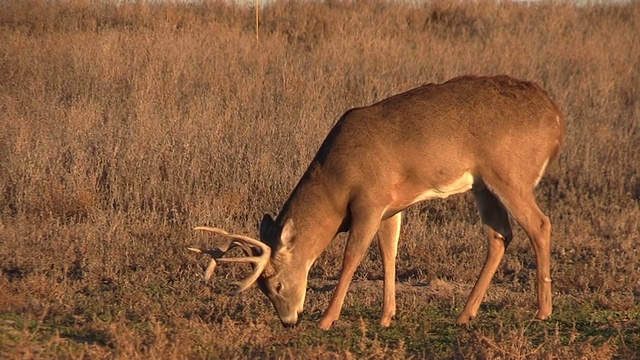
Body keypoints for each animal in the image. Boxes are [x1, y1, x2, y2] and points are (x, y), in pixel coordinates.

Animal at [189, 74, 564, 330]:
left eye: (277, 283)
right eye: (263, 289)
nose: (289, 320)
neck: (336, 179)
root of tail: (555, 117)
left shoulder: (369, 201)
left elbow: (351, 258)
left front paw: (327, 319)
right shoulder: (390, 207)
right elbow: (389, 254)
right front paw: (386, 316)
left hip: (510, 176)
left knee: (540, 225)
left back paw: (543, 311)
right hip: (483, 184)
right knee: (499, 236)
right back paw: (464, 314)